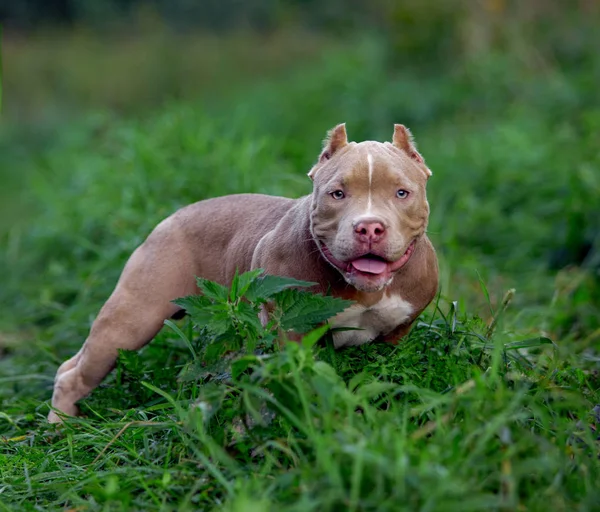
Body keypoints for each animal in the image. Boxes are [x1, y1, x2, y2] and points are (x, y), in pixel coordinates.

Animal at [47, 125, 438, 424]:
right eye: (337, 194)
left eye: (402, 193)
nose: (369, 227)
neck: (364, 290)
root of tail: (170, 218)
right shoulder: (288, 330)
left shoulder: (398, 331)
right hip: (133, 318)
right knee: (75, 370)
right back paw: (60, 428)